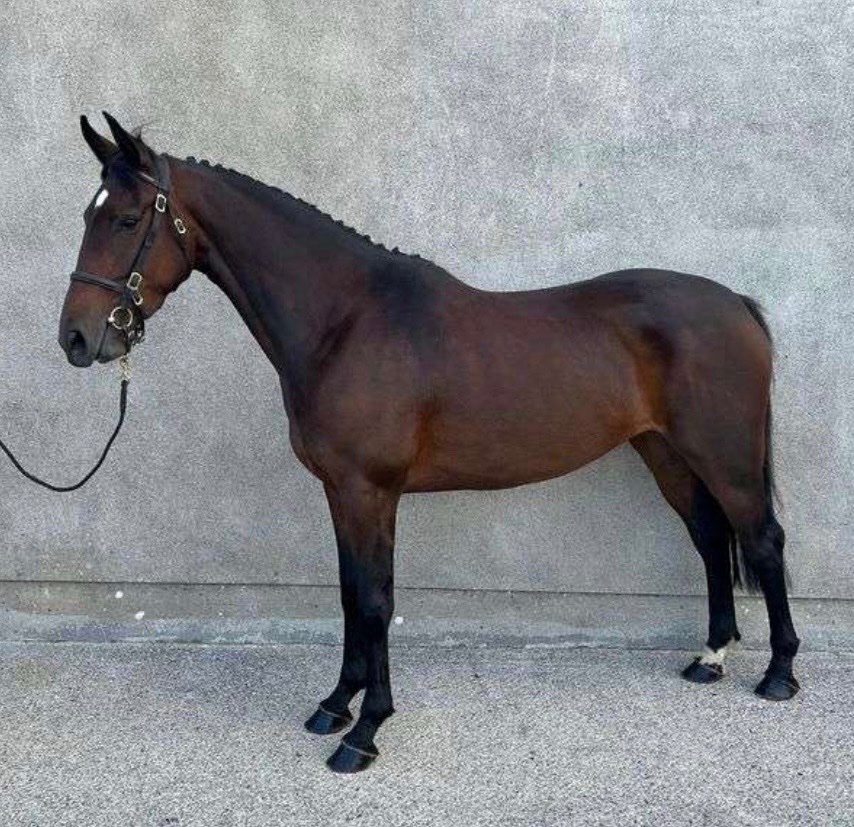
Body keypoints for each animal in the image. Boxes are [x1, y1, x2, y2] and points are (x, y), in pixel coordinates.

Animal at [58, 112, 800, 773]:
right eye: (89, 215)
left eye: (127, 220)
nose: (77, 338)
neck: (345, 321)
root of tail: (735, 302)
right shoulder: (341, 491)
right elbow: (349, 593)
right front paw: (336, 704)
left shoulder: (372, 490)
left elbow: (376, 600)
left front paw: (364, 733)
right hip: (666, 453)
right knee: (710, 537)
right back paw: (710, 658)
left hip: (725, 456)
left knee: (761, 539)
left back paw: (779, 674)